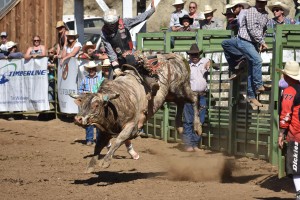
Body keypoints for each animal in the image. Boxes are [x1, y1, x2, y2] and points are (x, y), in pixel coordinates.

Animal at [72, 52, 202, 172]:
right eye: (81, 105)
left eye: (96, 105)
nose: (78, 118)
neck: (117, 103)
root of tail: (174, 56)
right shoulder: (105, 132)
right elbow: (98, 146)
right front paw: (90, 166)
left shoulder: (131, 126)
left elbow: (118, 140)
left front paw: (106, 162)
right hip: (171, 95)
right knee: (181, 102)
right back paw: (179, 126)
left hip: (180, 87)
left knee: (194, 97)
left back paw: (198, 127)